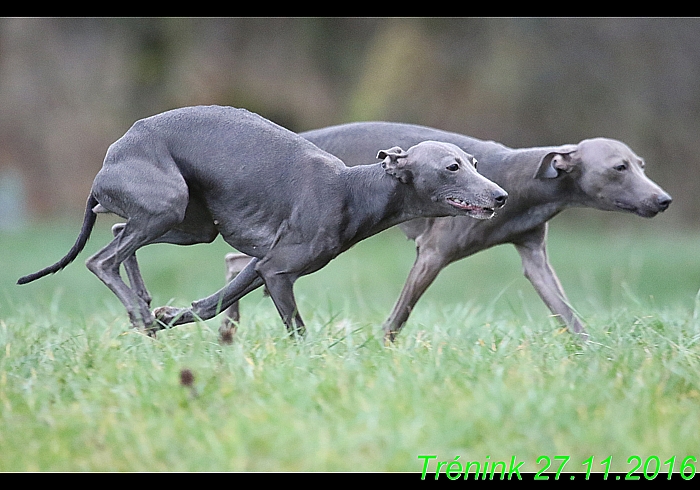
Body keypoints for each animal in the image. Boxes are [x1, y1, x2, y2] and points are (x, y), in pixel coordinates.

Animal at [17, 106, 508, 336]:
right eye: (451, 168)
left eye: (474, 162)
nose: (501, 196)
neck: (354, 190)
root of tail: (112, 157)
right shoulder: (278, 272)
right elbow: (297, 330)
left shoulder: (262, 264)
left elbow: (209, 305)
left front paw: (169, 315)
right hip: (169, 203)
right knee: (101, 260)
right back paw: (138, 311)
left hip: (193, 224)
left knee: (121, 232)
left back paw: (143, 303)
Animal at [221, 121, 668, 340]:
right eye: (619, 167)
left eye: (642, 165)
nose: (664, 200)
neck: (521, 179)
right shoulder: (432, 254)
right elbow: (397, 318)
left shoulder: (534, 257)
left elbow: (568, 315)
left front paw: (593, 352)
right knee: (240, 259)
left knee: (239, 261)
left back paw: (229, 326)